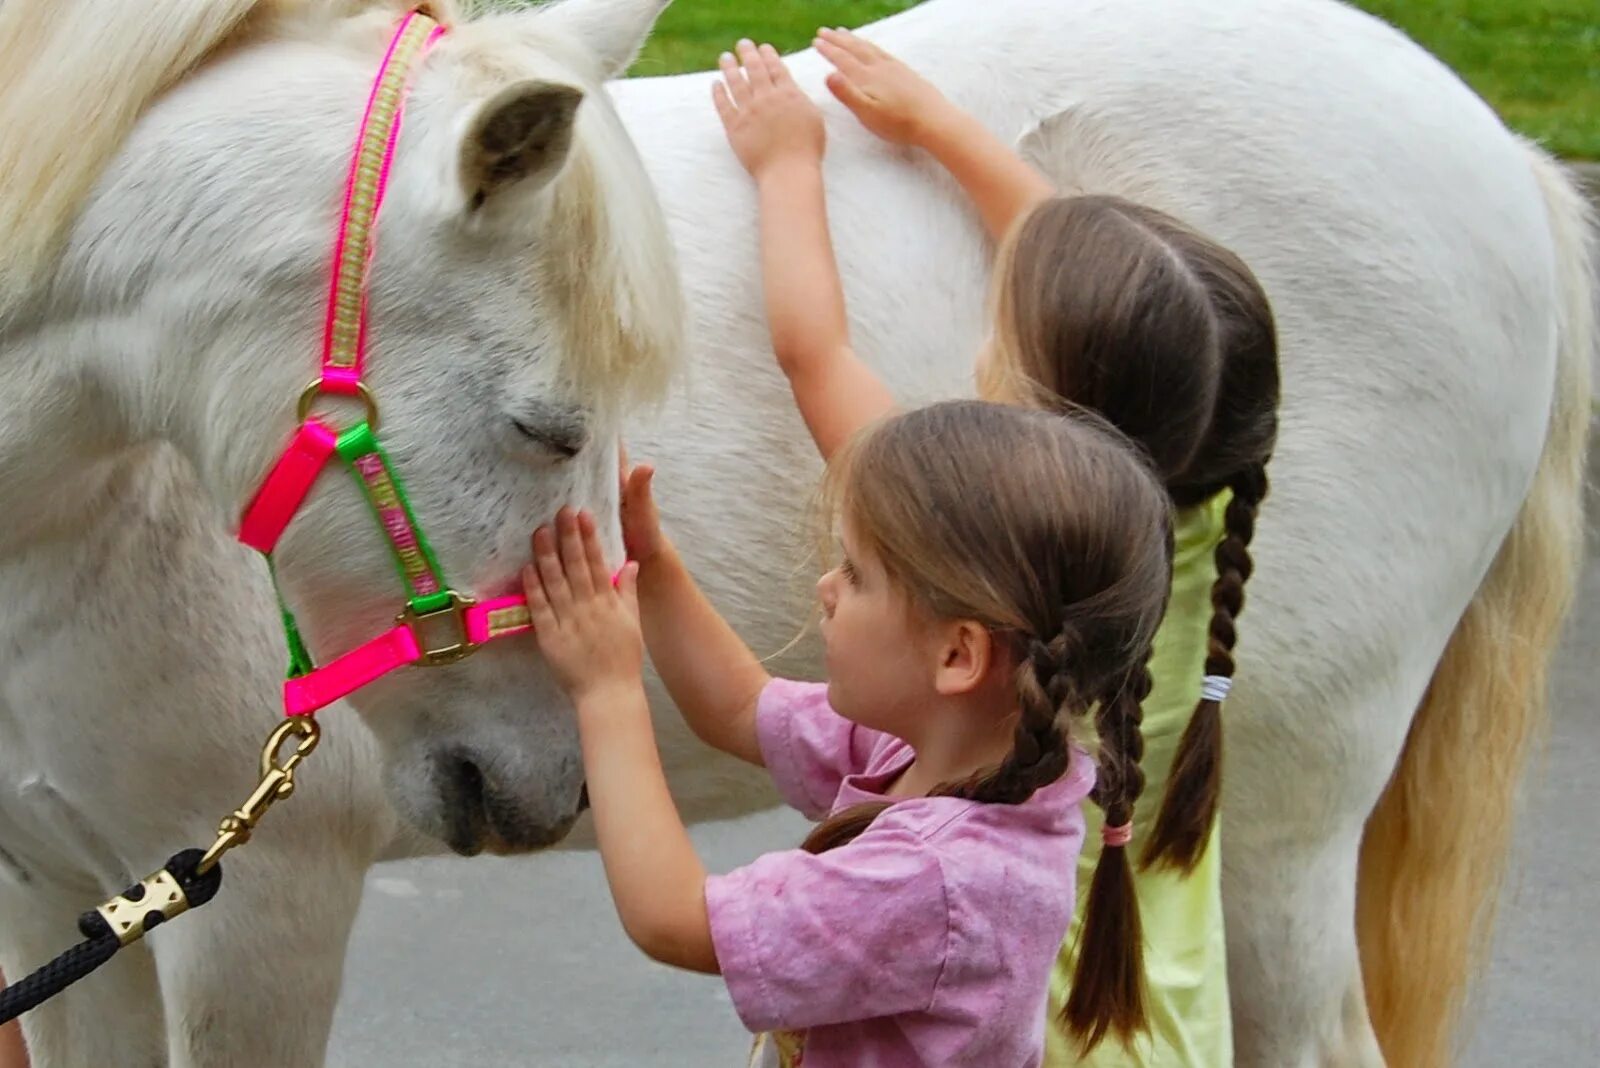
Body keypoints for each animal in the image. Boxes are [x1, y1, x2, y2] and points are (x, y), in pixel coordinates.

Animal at [0, 2, 1587, 1068]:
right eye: (555, 427)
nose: (548, 784)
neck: (80, 521)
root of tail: (1504, 155)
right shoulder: (62, 908)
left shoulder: (256, 917)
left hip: (1272, 834)